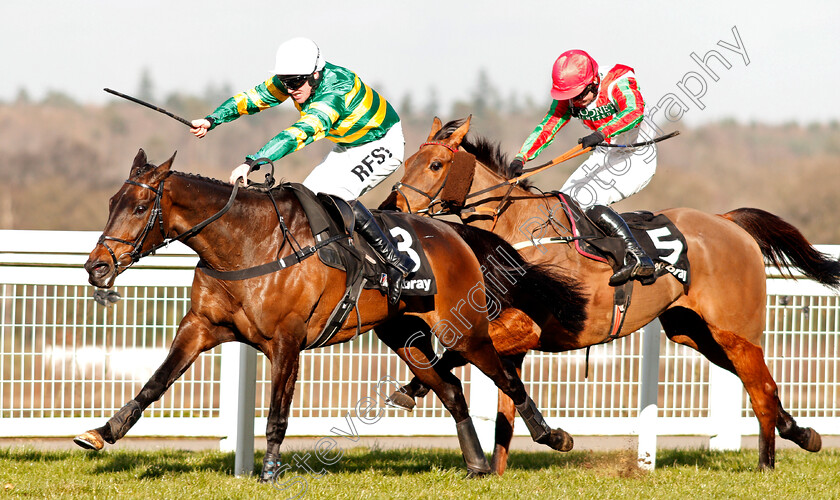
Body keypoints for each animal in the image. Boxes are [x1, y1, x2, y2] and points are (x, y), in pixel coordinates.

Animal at [74, 149, 584, 480]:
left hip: (464, 330)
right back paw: (477, 464)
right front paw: (102, 432)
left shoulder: (286, 341)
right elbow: (154, 383)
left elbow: (277, 413)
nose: (96, 266)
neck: (246, 243)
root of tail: (455, 232)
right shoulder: (200, 327)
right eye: (112, 203)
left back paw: (553, 437)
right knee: (453, 391)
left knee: (507, 379)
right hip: (404, 334)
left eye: (141, 206)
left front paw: (270, 472)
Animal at [388, 116, 840, 472]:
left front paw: (415, 388)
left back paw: (766, 464)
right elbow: (503, 409)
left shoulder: (531, 328)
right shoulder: (511, 336)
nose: (395, 207)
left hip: (736, 331)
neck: (517, 235)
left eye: (436, 164)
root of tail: (727, 220)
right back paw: (802, 433)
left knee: (761, 388)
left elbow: (464, 357)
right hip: (694, 332)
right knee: (759, 384)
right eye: (406, 163)